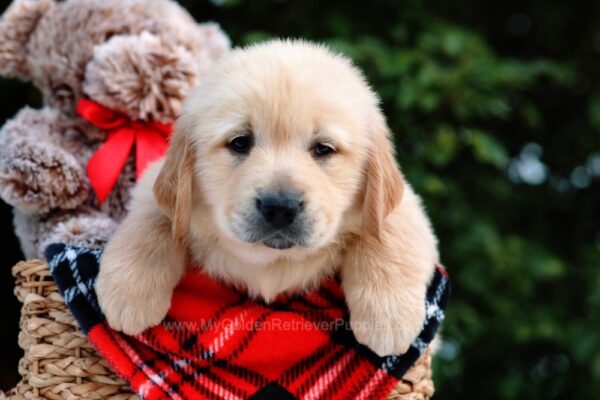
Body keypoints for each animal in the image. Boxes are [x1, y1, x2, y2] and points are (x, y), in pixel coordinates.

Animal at [96, 39, 438, 354]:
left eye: (323, 149)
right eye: (239, 142)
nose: (280, 208)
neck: (271, 261)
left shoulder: (406, 204)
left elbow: (385, 233)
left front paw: (388, 316)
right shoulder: (154, 184)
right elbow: (156, 219)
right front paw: (129, 292)